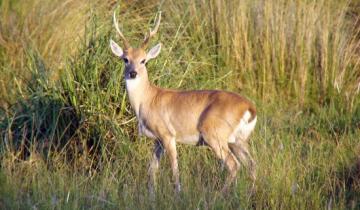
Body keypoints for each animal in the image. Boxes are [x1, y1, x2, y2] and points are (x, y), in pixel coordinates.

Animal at [109, 9, 256, 194]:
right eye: (125, 59)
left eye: (144, 60)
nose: (133, 73)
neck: (147, 99)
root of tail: (249, 107)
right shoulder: (157, 141)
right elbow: (152, 169)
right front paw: (151, 195)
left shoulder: (168, 135)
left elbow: (174, 169)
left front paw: (178, 193)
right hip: (238, 140)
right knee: (251, 164)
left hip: (214, 134)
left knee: (233, 165)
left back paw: (220, 195)